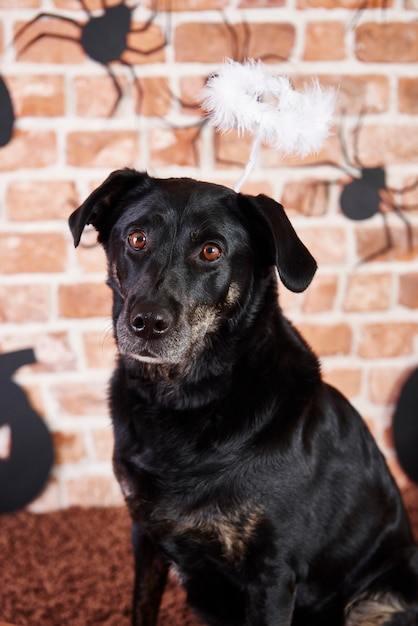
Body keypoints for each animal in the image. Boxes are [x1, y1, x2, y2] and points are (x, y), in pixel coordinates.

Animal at [69, 169, 418, 624]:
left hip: (378, 601)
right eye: (137, 238)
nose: (147, 322)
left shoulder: (272, 573)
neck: (184, 400)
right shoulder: (144, 537)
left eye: (211, 251)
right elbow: (141, 609)